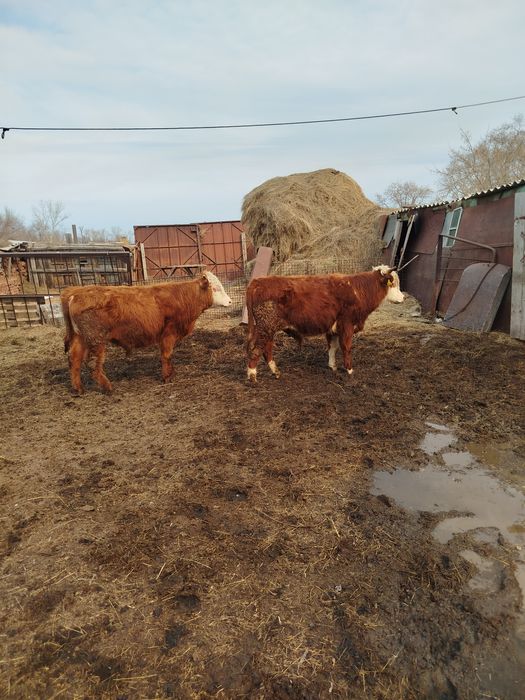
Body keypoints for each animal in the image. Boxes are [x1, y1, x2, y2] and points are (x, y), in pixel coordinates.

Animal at [61, 271, 231, 394]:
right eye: (216, 288)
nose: (230, 301)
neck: (184, 297)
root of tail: (76, 292)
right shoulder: (169, 333)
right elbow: (166, 355)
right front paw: (167, 377)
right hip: (96, 340)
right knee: (92, 364)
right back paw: (107, 387)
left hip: (81, 338)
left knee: (74, 360)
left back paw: (79, 388)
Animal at [245, 265, 404, 382]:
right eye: (393, 284)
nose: (403, 298)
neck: (358, 290)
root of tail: (257, 281)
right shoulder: (346, 324)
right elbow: (346, 347)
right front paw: (349, 370)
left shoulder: (333, 328)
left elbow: (333, 347)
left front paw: (332, 366)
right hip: (265, 328)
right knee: (256, 350)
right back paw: (252, 375)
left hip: (268, 329)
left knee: (267, 349)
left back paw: (275, 372)